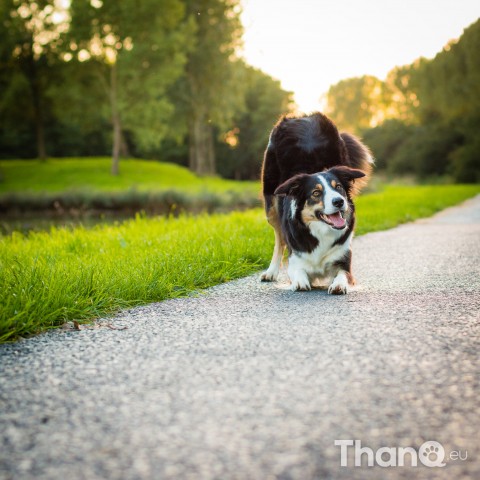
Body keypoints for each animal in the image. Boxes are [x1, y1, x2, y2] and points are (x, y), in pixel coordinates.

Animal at [260, 112, 374, 292]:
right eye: (316, 193)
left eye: (338, 187)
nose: (339, 201)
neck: (322, 230)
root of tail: (302, 116)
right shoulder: (296, 259)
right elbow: (297, 271)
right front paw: (300, 282)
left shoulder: (344, 259)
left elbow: (343, 274)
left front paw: (338, 284)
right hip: (271, 205)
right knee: (280, 239)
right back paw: (271, 272)